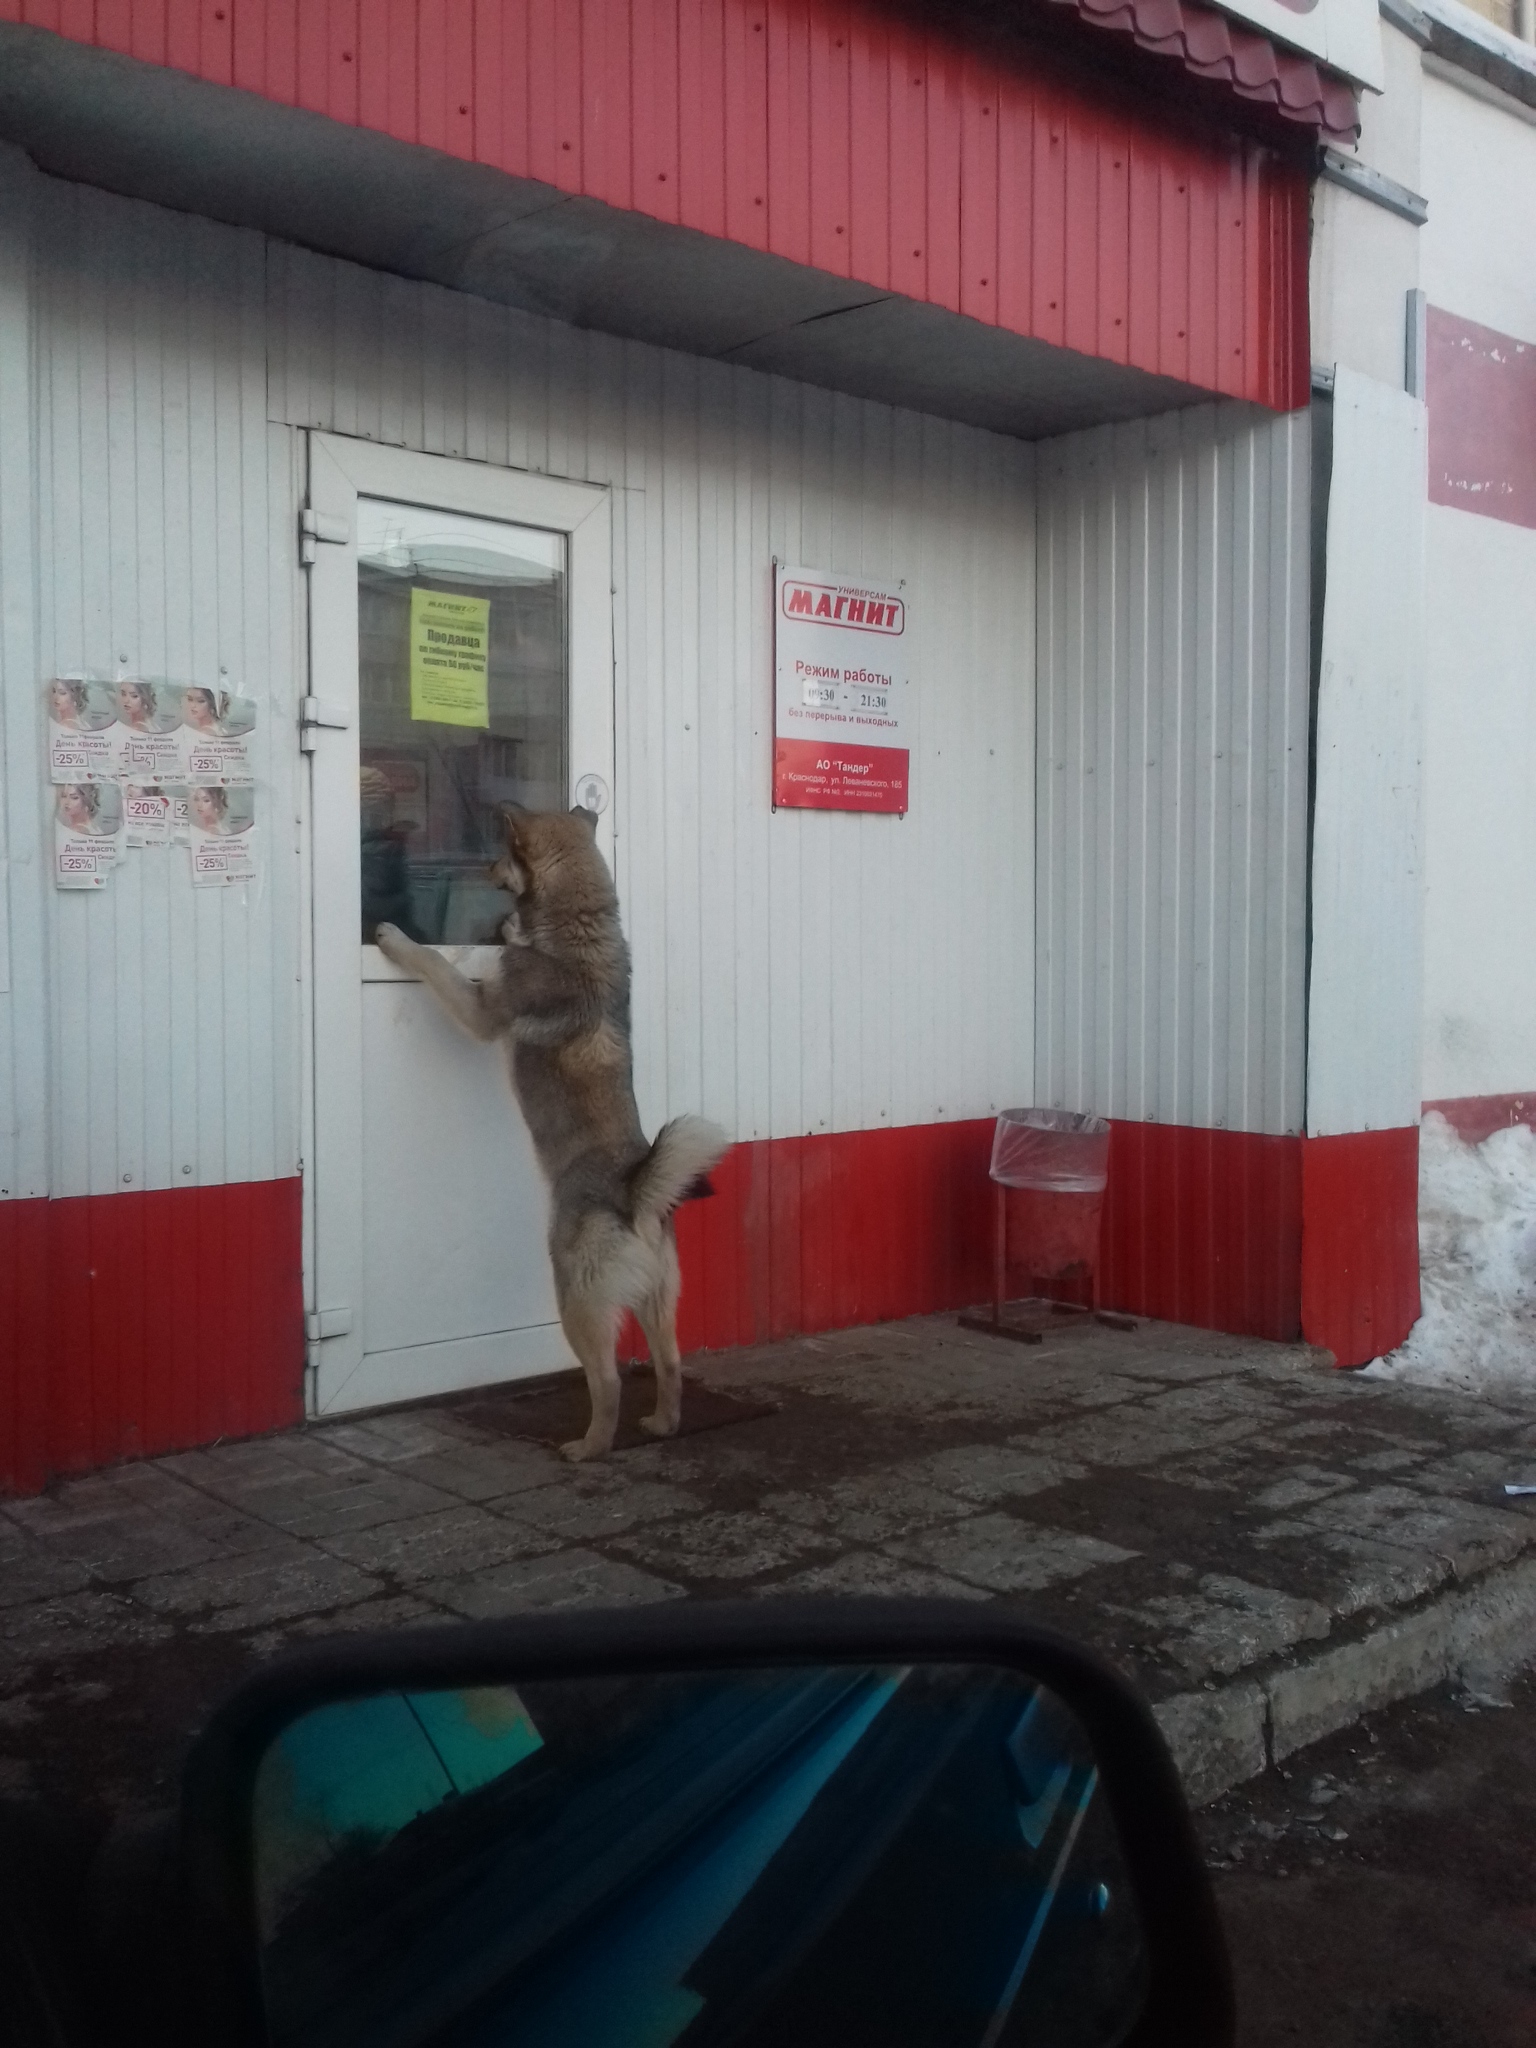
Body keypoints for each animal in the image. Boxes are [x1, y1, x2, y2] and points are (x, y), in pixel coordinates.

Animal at [376, 798, 729, 1458]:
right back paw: (661, 1424)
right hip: (657, 1300)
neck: (575, 925)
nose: (483, 869)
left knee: (608, 1380)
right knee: (669, 1365)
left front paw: (397, 938)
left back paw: (588, 1446)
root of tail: (635, 1194)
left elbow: (436, 962)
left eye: (501, 852)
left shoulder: (483, 1011)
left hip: (574, 1295)